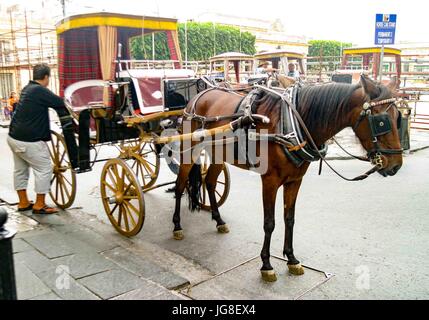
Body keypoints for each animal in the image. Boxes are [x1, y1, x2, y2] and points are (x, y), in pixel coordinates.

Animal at [171, 75, 402, 282]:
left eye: (399, 117)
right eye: (381, 122)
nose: (396, 165)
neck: (292, 122)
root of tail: (198, 96)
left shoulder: (294, 180)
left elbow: (289, 219)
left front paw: (291, 259)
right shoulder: (270, 181)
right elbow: (269, 223)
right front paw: (266, 265)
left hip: (220, 154)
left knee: (209, 182)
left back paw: (219, 221)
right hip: (189, 152)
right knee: (180, 185)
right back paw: (177, 226)